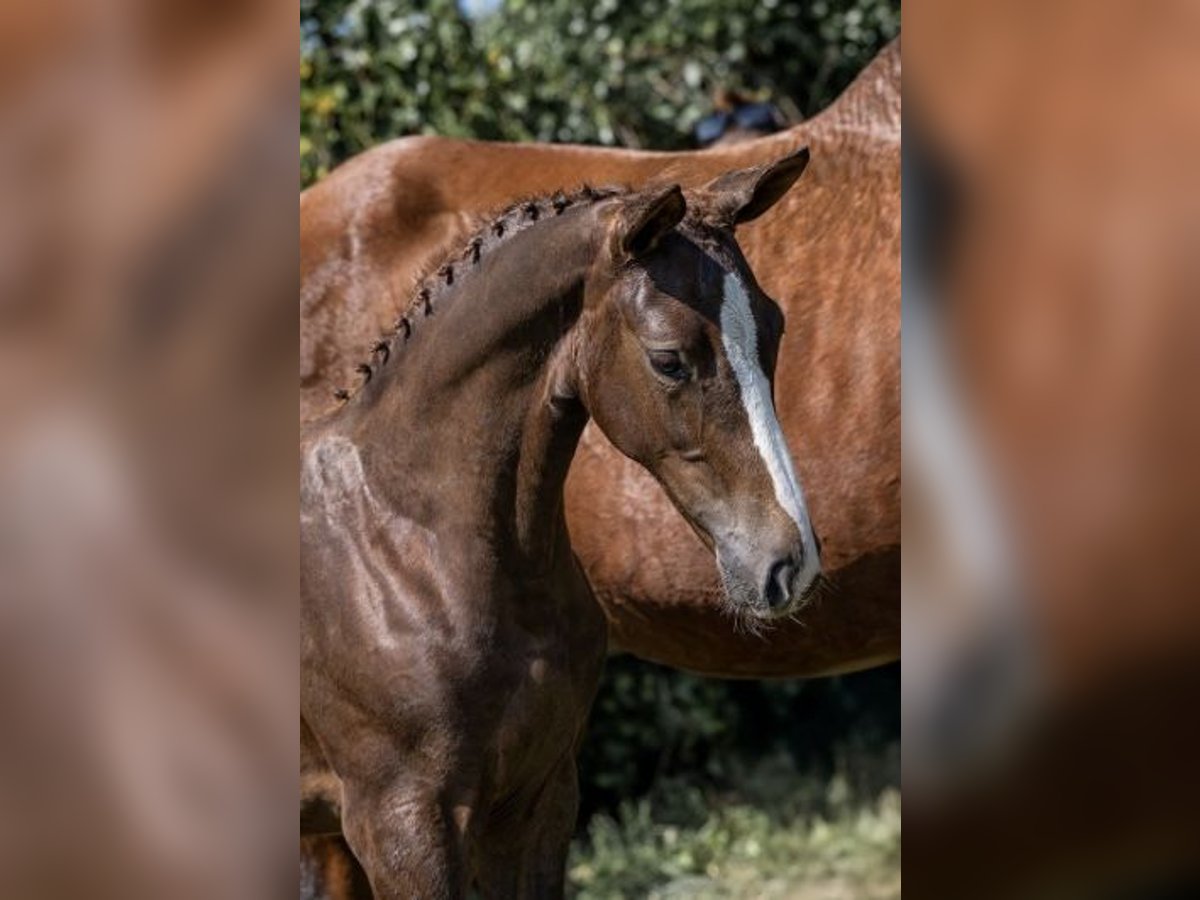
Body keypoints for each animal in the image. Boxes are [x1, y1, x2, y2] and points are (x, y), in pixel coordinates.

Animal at [301, 153, 818, 897]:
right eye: (669, 358)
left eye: (773, 329)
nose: (788, 562)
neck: (407, 541)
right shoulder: (400, 822)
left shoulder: (540, 798)